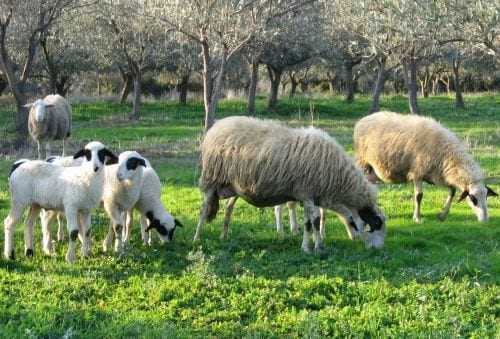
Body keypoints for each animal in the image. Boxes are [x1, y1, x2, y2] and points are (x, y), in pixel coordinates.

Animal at [193, 117, 384, 252]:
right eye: (376, 224)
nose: (378, 249)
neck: (338, 178)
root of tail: (217, 126)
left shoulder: (311, 196)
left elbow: (314, 221)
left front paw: (318, 245)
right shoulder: (306, 192)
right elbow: (311, 222)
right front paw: (308, 248)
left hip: (235, 187)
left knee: (228, 209)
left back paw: (224, 236)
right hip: (212, 179)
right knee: (203, 211)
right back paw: (197, 238)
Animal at [354, 111, 498, 223]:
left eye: (486, 196)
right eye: (473, 199)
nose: (485, 220)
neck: (447, 154)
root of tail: (363, 119)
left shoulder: (437, 176)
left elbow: (452, 191)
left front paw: (442, 215)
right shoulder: (417, 173)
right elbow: (419, 196)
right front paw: (417, 218)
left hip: (373, 170)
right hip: (363, 162)